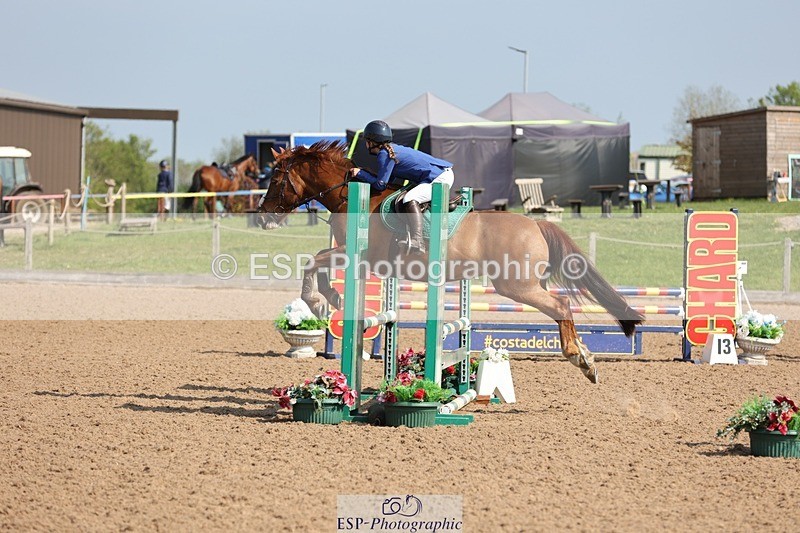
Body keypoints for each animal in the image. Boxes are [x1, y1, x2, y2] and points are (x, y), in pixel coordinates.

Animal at [256, 141, 644, 383]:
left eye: (275, 179)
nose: (262, 218)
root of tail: (535, 222)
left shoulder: (360, 256)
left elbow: (314, 262)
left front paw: (320, 301)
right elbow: (317, 263)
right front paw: (330, 299)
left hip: (516, 285)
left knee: (561, 305)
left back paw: (581, 359)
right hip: (526, 283)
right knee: (561, 304)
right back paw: (587, 357)